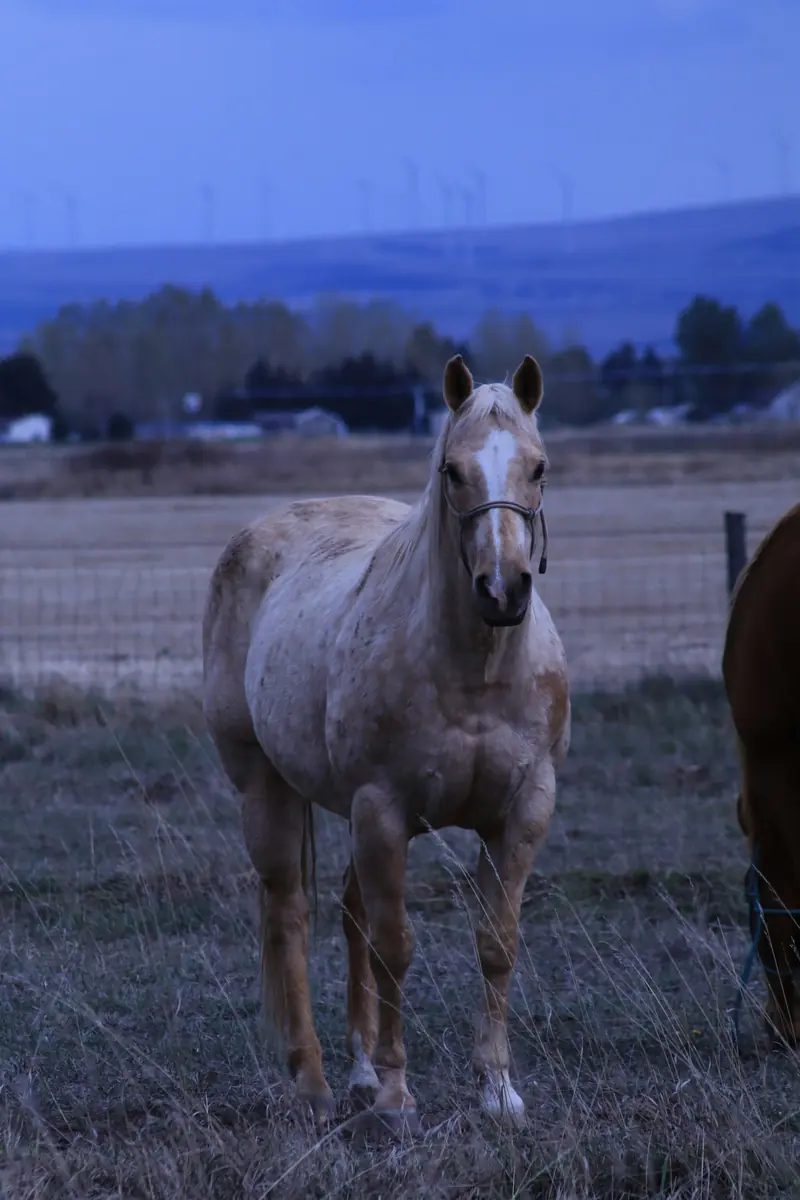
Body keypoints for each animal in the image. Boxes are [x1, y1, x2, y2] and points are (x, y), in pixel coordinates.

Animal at [202, 354, 571, 1134]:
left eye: (539, 467)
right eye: (452, 471)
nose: (503, 590)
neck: (474, 671)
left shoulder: (522, 813)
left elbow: (496, 944)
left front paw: (497, 1090)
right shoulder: (384, 810)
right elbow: (394, 947)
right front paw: (400, 1099)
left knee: (349, 915)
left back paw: (359, 1072)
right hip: (267, 792)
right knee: (291, 917)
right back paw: (314, 1085)